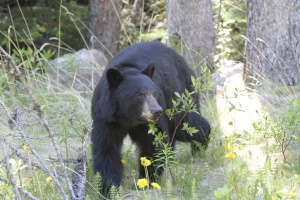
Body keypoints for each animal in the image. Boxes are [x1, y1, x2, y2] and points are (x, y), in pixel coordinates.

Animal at [91, 41, 211, 194]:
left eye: (154, 93)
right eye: (139, 95)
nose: (157, 111)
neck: (128, 117)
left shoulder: (151, 122)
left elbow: (154, 143)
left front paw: (146, 181)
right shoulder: (106, 117)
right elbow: (106, 148)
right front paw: (109, 188)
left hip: (180, 94)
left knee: (188, 126)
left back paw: (199, 147)